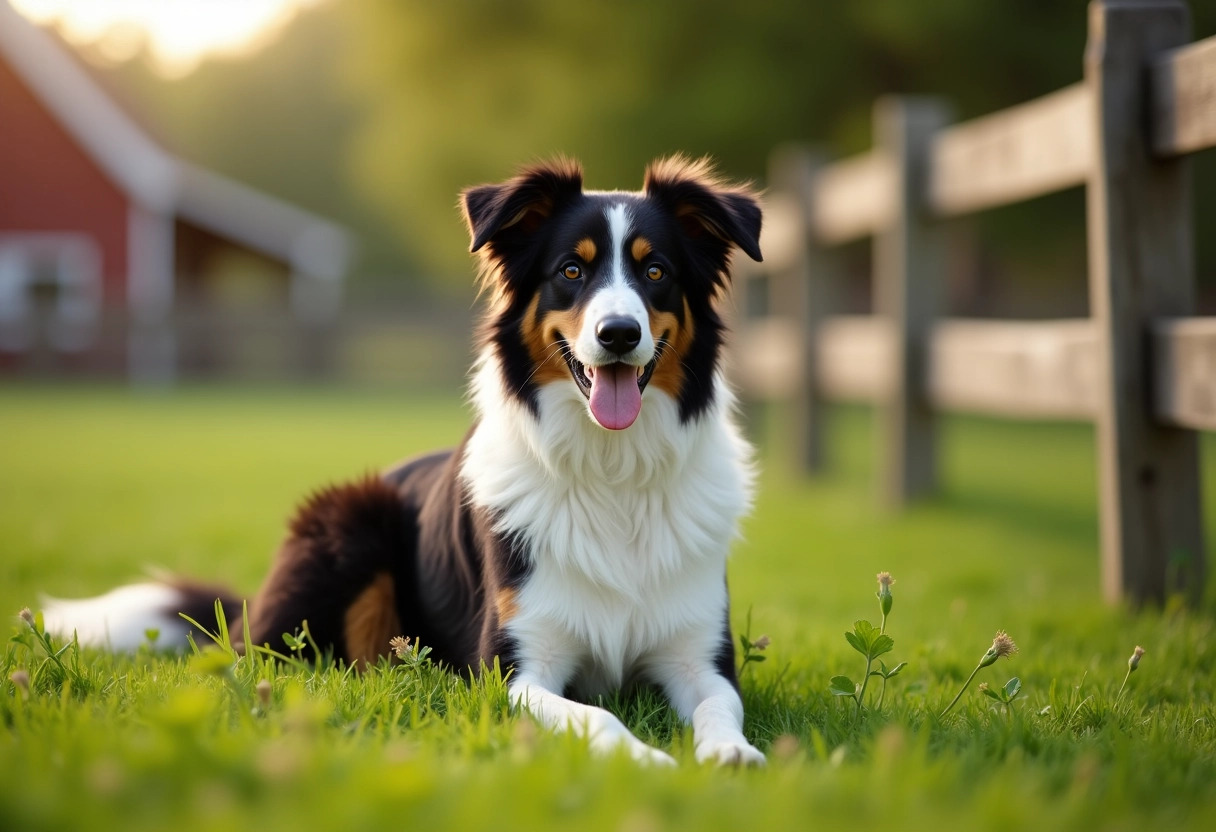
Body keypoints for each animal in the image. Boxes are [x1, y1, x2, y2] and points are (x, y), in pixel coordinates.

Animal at [42, 155, 763, 768]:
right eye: (571, 271)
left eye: (656, 271)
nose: (619, 334)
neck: (612, 472)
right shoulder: (513, 667)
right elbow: (595, 715)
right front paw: (644, 758)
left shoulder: (701, 657)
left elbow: (721, 708)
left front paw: (731, 754)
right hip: (350, 523)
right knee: (267, 659)